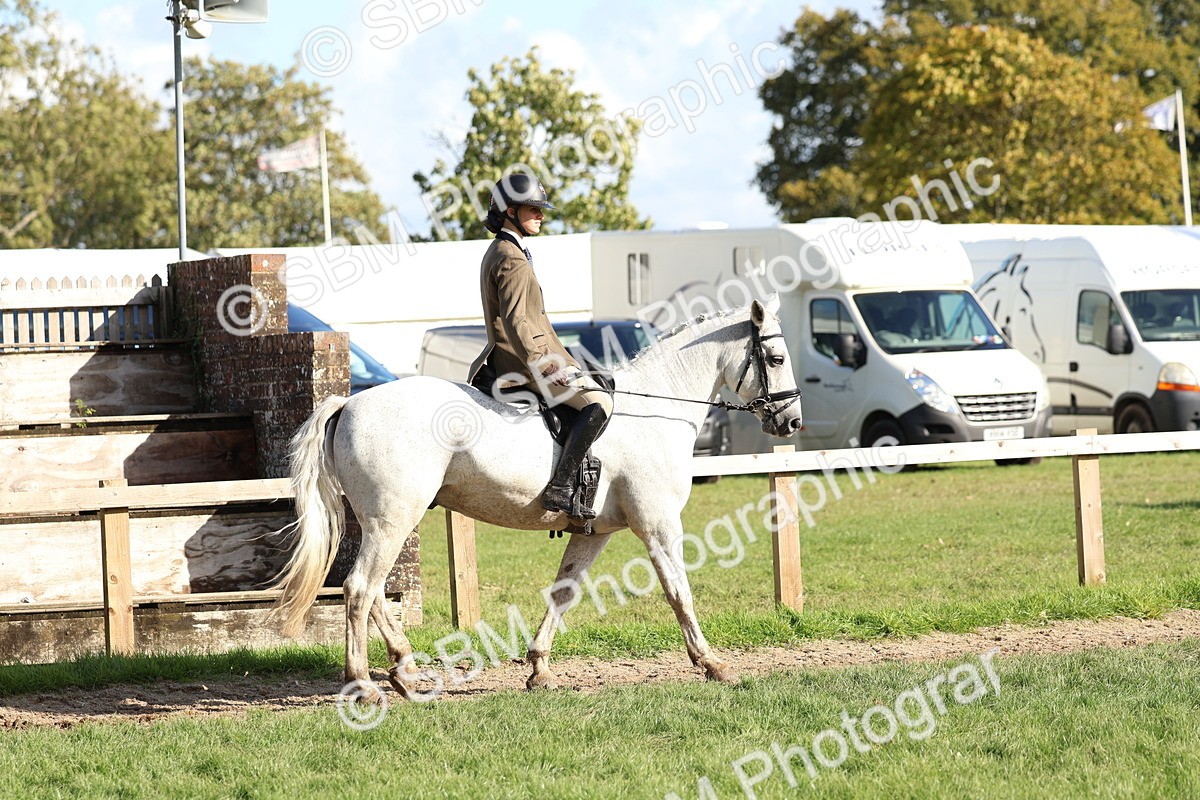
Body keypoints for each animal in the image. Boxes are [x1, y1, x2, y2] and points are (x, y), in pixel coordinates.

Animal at [273, 296, 804, 700]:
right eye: (777, 360)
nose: (792, 422)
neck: (655, 412)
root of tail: (351, 401)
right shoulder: (657, 524)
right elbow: (679, 591)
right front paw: (712, 663)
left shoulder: (595, 531)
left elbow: (564, 590)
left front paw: (540, 669)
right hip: (392, 519)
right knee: (361, 589)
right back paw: (364, 683)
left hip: (385, 521)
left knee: (373, 590)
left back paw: (404, 669)